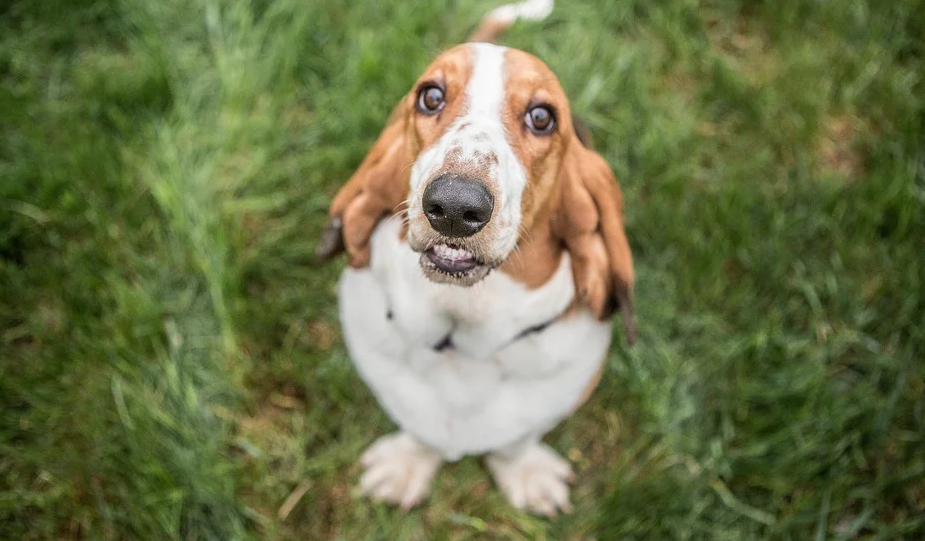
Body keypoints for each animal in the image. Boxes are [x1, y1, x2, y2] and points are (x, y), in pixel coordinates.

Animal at [318, 0, 636, 516]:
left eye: (542, 117)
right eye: (430, 97)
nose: (453, 205)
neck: (462, 332)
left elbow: (517, 442)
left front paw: (524, 474)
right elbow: (420, 431)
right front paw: (406, 466)